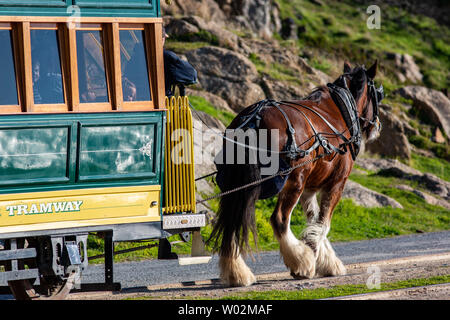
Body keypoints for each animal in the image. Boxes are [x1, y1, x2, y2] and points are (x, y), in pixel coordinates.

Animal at [209, 61, 384, 286]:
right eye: (377, 94)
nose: (377, 126)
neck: (339, 111)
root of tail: (254, 119)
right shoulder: (336, 183)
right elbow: (323, 223)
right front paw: (313, 258)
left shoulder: (309, 189)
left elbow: (314, 221)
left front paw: (327, 261)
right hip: (293, 182)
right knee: (279, 220)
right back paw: (301, 263)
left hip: (237, 186)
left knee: (230, 222)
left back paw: (237, 273)